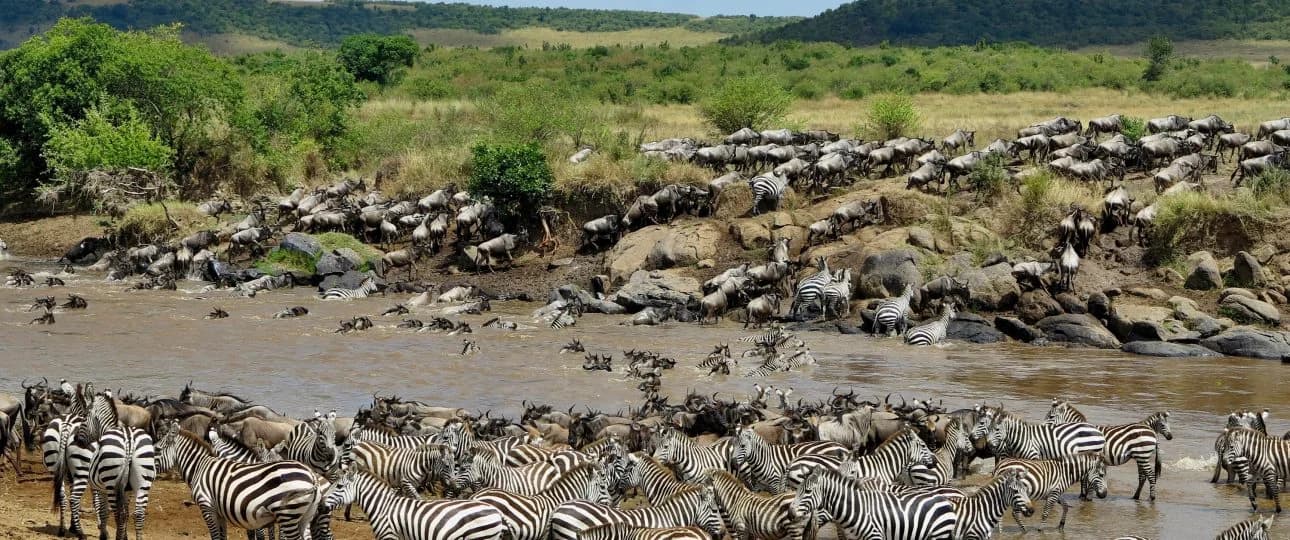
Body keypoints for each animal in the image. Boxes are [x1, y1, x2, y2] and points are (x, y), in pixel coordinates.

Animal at [154, 421, 324, 540]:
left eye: (157, 450)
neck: (199, 467)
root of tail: (311, 476)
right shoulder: (219, 512)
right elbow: (222, 537)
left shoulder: (206, 506)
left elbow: (215, 536)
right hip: (304, 516)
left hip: (288, 515)